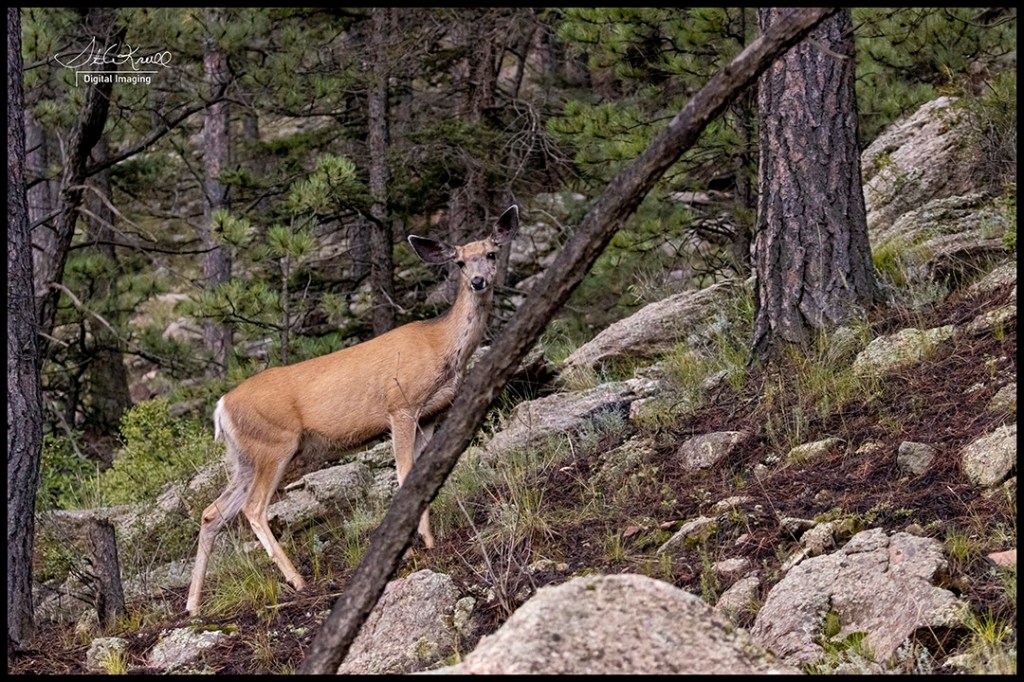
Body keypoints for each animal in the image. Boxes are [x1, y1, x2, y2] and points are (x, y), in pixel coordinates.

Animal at [185, 205, 519, 616]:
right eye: (458, 261)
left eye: (491, 253)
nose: (477, 281)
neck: (441, 347)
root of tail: (221, 407)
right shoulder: (400, 405)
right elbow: (406, 474)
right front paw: (422, 543)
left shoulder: (430, 415)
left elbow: (425, 474)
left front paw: (428, 537)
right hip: (275, 444)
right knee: (253, 508)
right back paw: (297, 580)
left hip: (244, 457)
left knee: (212, 512)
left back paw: (193, 605)